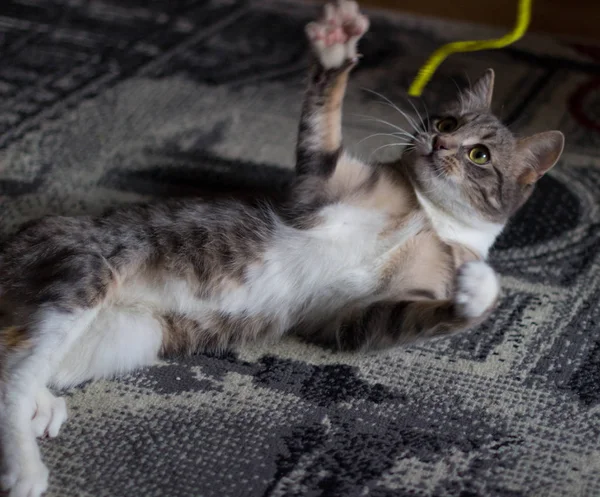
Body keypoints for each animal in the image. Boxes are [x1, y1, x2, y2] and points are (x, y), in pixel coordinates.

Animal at [0, 1, 564, 494]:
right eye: (446, 123)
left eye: (479, 154)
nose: (440, 143)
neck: (428, 215)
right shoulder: (320, 186)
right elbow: (323, 125)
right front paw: (336, 47)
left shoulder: (352, 321)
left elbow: (408, 316)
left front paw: (480, 293)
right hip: (89, 272)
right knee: (15, 379)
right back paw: (25, 466)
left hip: (125, 335)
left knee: (13, 366)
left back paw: (42, 408)